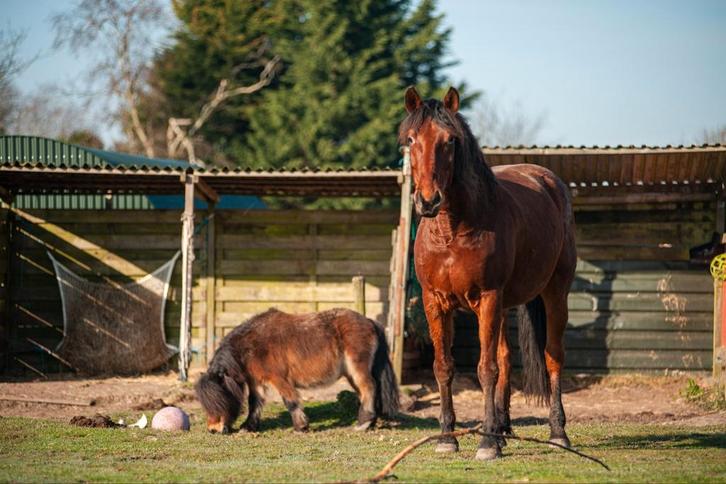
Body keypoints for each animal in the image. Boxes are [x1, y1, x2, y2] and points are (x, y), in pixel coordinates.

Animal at [195, 308, 399, 434]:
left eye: (219, 400)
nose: (213, 429)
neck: (253, 346)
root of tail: (369, 321)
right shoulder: (256, 382)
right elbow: (255, 403)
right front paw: (248, 426)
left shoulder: (279, 379)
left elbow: (290, 402)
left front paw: (301, 427)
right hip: (351, 374)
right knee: (366, 392)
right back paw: (370, 422)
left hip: (358, 369)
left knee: (369, 388)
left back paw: (363, 423)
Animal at [399, 86, 576, 461]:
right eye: (411, 140)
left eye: (450, 141)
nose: (428, 201)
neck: (452, 231)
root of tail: (548, 180)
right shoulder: (435, 302)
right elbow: (444, 367)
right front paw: (447, 438)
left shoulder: (489, 298)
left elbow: (486, 369)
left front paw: (485, 445)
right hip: (505, 305)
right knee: (507, 358)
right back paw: (502, 429)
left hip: (554, 293)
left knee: (553, 356)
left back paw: (557, 432)